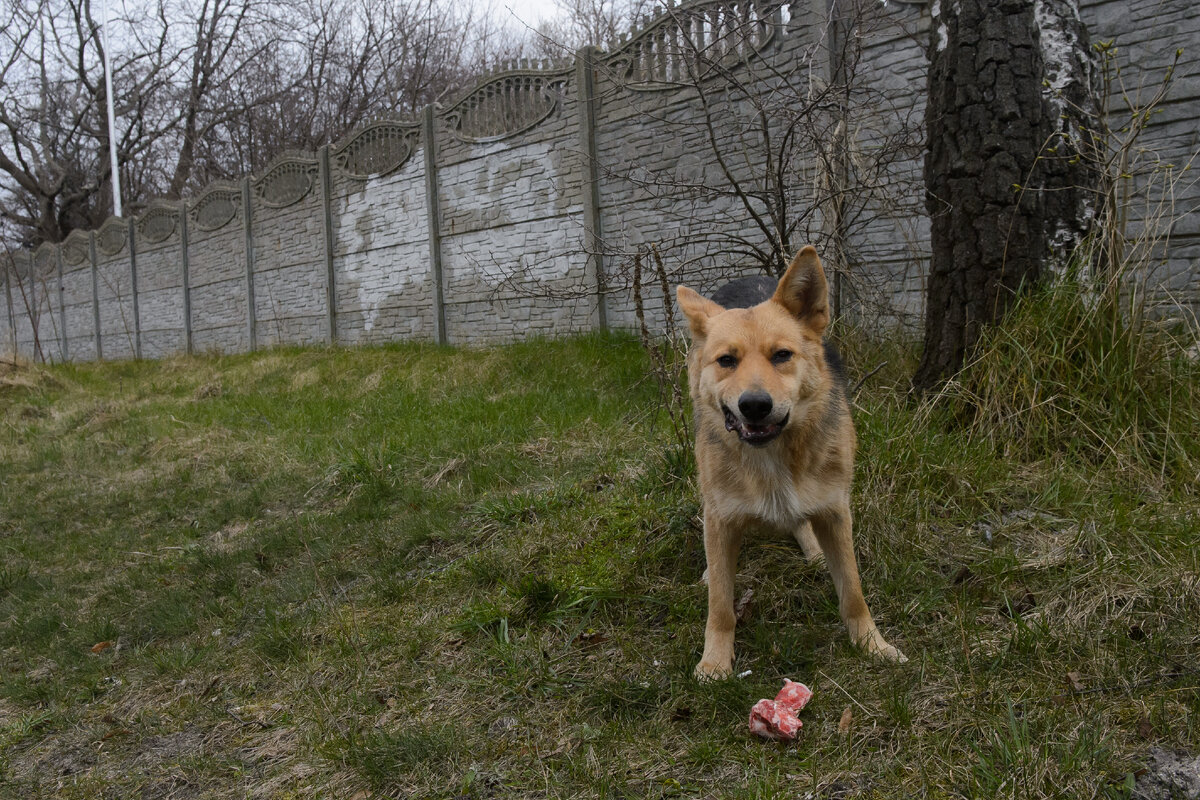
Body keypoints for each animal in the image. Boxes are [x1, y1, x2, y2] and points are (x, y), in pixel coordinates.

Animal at [681, 245, 902, 681]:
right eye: (726, 360)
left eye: (781, 355)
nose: (754, 405)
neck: (772, 456)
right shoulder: (721, 517)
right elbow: (720, 604)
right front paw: (715, 660)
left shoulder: (836, 512)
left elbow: (853, 591)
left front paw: (872, 645)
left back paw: (813, 551)